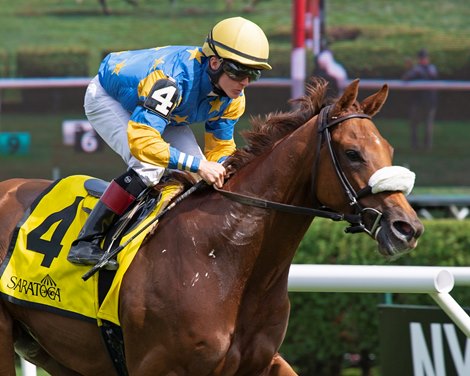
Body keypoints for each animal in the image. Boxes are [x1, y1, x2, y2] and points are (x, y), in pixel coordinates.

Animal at [0, 78, 422, 374]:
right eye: (352, 153)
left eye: (389, 150)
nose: (408, 227)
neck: (226, 259)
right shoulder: (157, 366)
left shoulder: (260, 363)